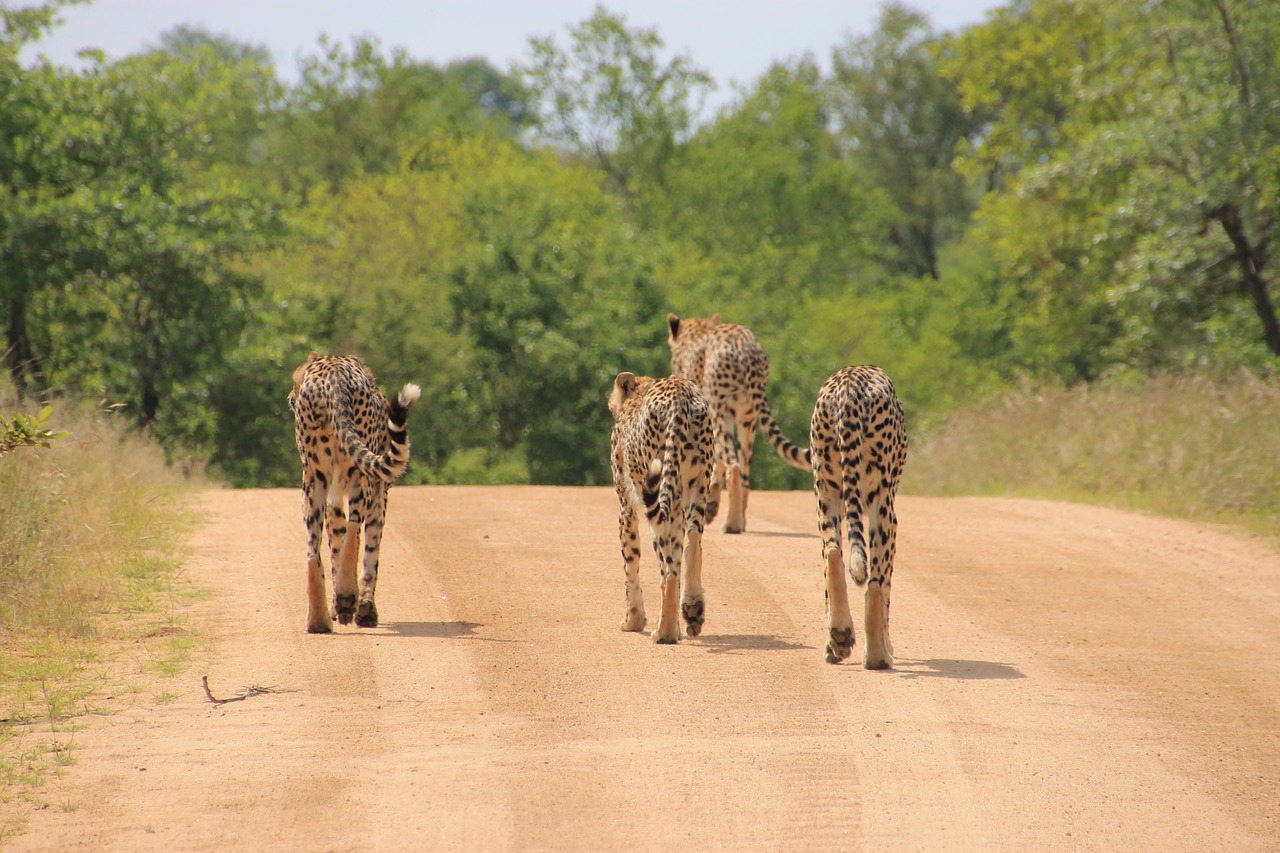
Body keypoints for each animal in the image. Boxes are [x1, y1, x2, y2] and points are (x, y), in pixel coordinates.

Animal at [290, 350, 419, 630]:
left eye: (295, 380)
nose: (290, 398)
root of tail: (333, 376)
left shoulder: (335, 495)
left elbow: (336, 544)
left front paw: (344, 608)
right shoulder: (379, 492)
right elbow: (370, 551)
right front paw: (364, 609)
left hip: (314, 481)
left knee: (313, 550)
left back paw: (318, 620)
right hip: (360, 477)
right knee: (353, 530)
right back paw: (348, 597)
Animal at [606, 368, 716, 640]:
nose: (611, 403)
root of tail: (679, 395)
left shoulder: (626, 507)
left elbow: (630, 563)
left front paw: (633, 620)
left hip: (658, 494)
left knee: (667, 566)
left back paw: (664, 632)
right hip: (697, 484)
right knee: (692, 542)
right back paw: (692, 608)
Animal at [670, 312, 808, 532]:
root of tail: (747, 351)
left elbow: (716, 461)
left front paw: (711, 504)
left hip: (720, 412)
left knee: (733, 466)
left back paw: (732, 524)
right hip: (747, 419)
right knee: (744, 472)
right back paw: (740, 519)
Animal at [808, 363, 911, 666]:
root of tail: (848, 386)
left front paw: (832, 646)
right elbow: (886, 587)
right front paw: (887, 645)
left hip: (826, 494)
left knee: (832, 555)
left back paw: (840, 635)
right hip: (881, 505)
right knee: (876, 581)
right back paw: (878, 656)